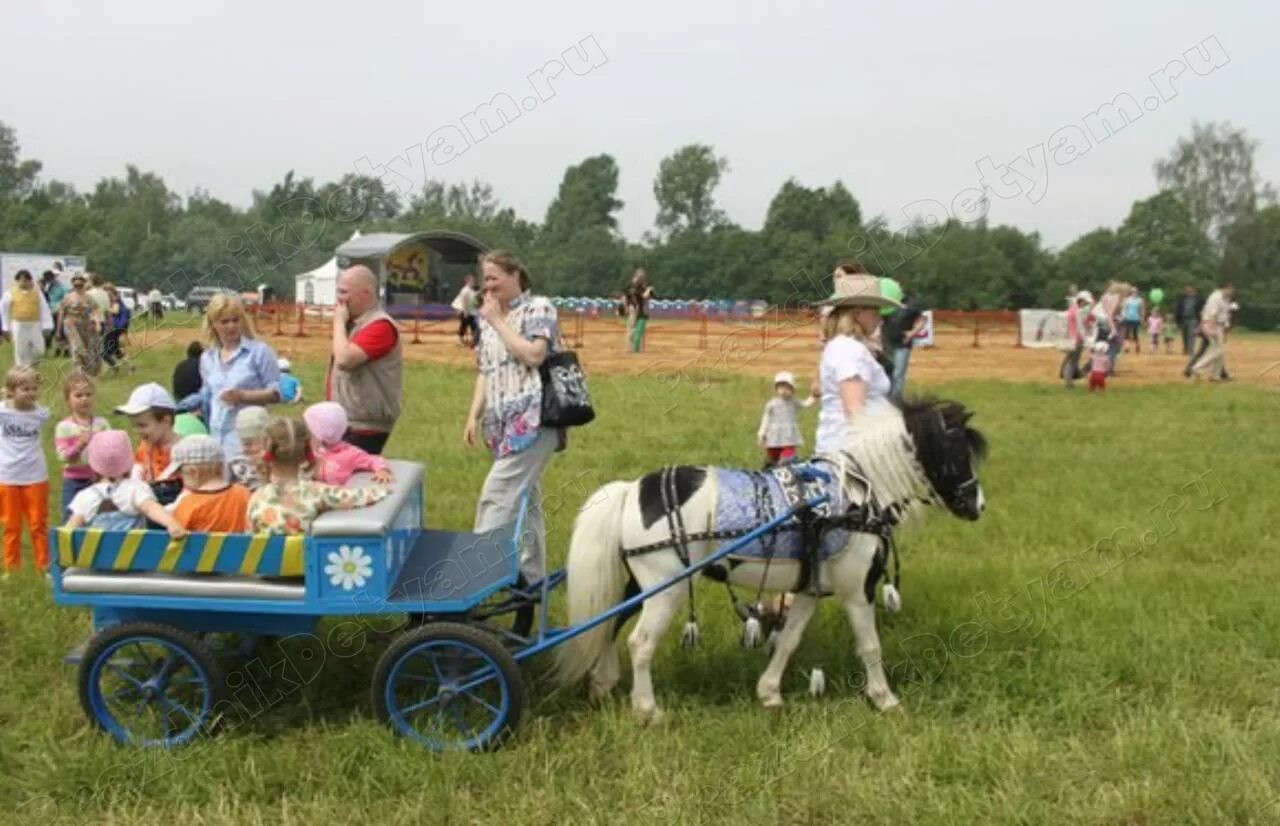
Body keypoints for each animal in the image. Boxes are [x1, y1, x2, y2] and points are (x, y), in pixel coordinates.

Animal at [552, 396, 988, 722]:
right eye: (956, 453)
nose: (978, 506)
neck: (857, 493)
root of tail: (631, 490)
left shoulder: (810, 588)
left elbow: (788, 641)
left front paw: (770, 693)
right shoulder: (856, 590)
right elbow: (870, 646)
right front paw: (885, 698)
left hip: (635, 584)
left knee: (608, 625)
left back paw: (602, 685)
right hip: (665, 589)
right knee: (640, 643)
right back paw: (647, 710)